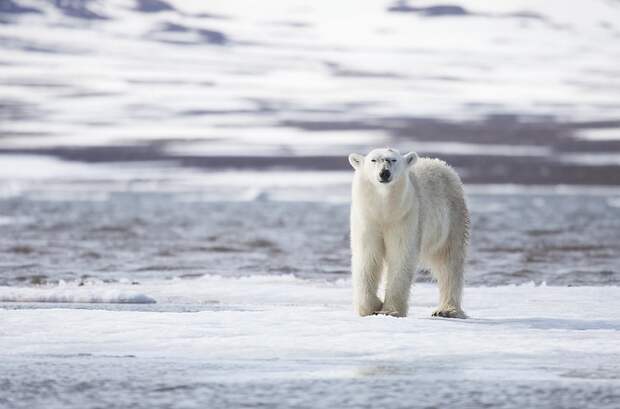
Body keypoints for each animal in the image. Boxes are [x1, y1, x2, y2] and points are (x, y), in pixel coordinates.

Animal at [348, 148, 470, 318]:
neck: (384, 209)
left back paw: (446, 310)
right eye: (373, 160)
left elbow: (401, 255)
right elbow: (368, 257)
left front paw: (390, 310)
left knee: (449, 261)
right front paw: (371, 306)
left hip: (451, 219)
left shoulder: (405, 216)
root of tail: (440, 163)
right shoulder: (367, 218)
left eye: (393, 160)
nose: (384, 173)